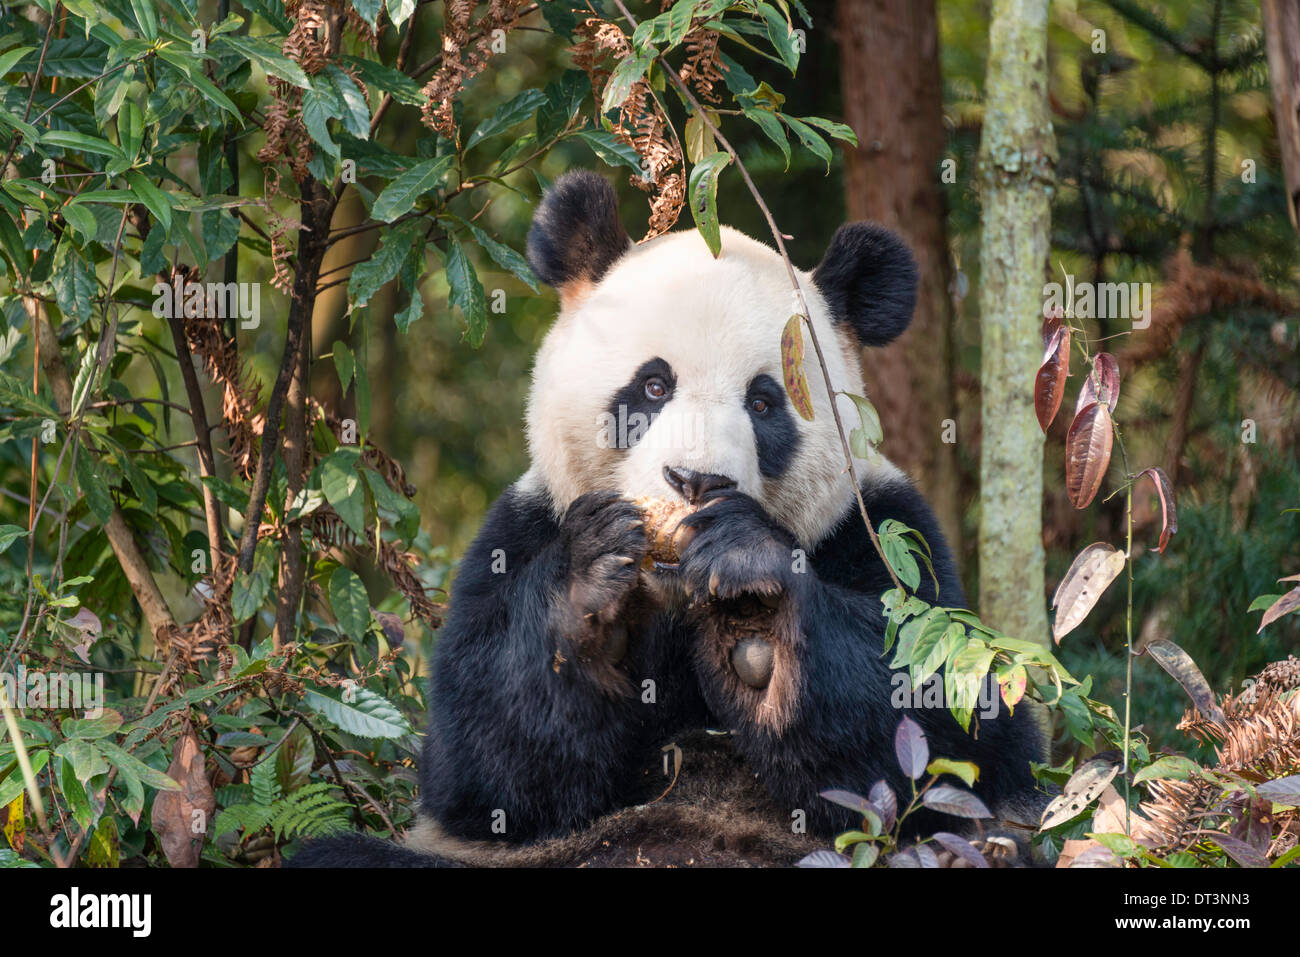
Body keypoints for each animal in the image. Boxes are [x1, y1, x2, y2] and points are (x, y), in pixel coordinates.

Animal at [290, 170, 1046, 868]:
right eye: (653, 385)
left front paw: (755, 601)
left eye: (764, 402)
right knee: (340, 854)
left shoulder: (888, 536)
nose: (696, 481)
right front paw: (590, 587)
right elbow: (481, 765)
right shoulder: (520, 529)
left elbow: (967, 730)